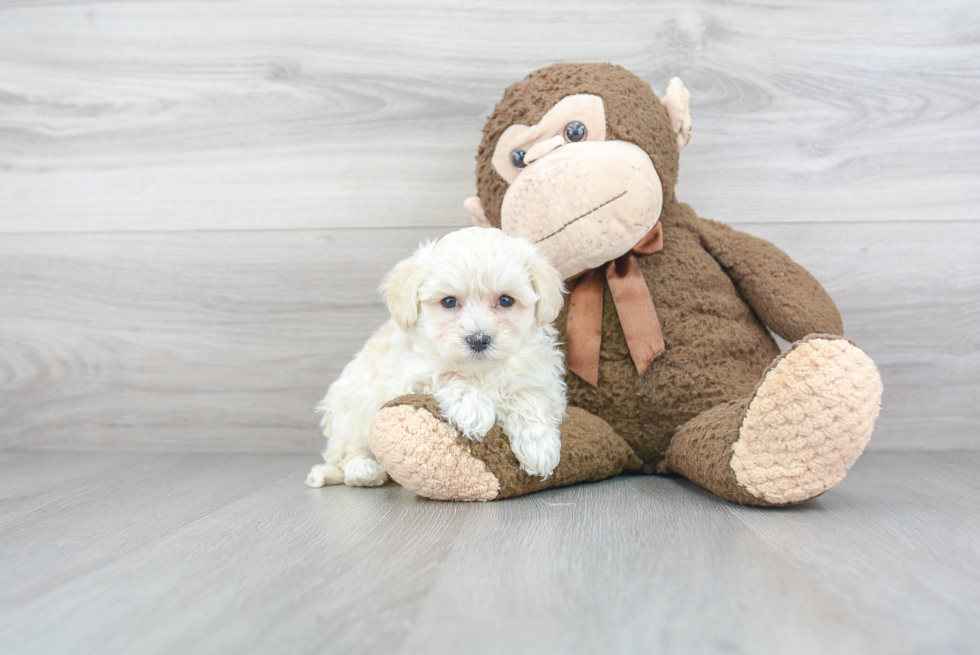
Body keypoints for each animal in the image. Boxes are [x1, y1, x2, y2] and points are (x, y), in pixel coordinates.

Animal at [306, 226, 568, 486]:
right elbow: (448, 376)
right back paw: (365, 470)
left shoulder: (540, 374)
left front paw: (539, 445)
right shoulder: (408, 376)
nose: (478, 339)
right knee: (348, 454)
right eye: (449, 302)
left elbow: (528, 395)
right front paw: (472, 408)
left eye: (505, 300)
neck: (480, 369)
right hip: (352, 410)